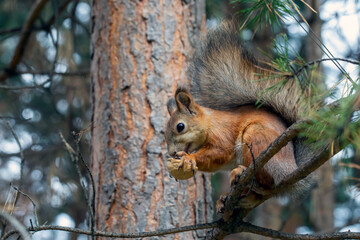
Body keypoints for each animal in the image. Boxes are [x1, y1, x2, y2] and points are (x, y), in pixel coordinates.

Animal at [165, 22, 312, 203]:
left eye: (180, 126)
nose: (171, 153)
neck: (209, 123)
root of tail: (290, 171)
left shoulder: (223, 134)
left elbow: (220, 151)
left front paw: (189, 157)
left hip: (257, 139)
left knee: (266, 181)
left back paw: (241, 173)